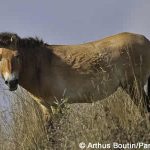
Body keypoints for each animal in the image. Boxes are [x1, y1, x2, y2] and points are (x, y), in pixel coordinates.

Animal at [0, 32, 150, 120]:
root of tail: (145, 40)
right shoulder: (46, 108)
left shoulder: (58, 105)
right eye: (0, 57)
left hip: (134, 86)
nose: (11, 82)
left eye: (17, 56)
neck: (40, 65)